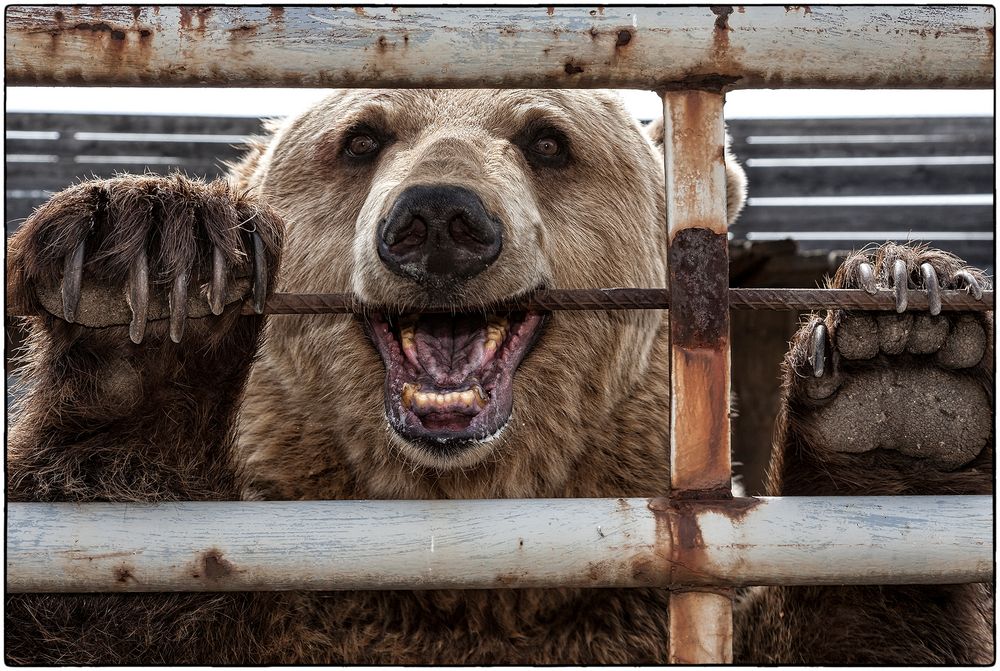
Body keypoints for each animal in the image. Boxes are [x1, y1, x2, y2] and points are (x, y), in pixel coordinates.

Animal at [5, 90, 992, 668]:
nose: (440, 219)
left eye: (548, 141)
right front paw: (150, 266)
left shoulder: (634, 617)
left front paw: (898, 367)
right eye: (361, 138)